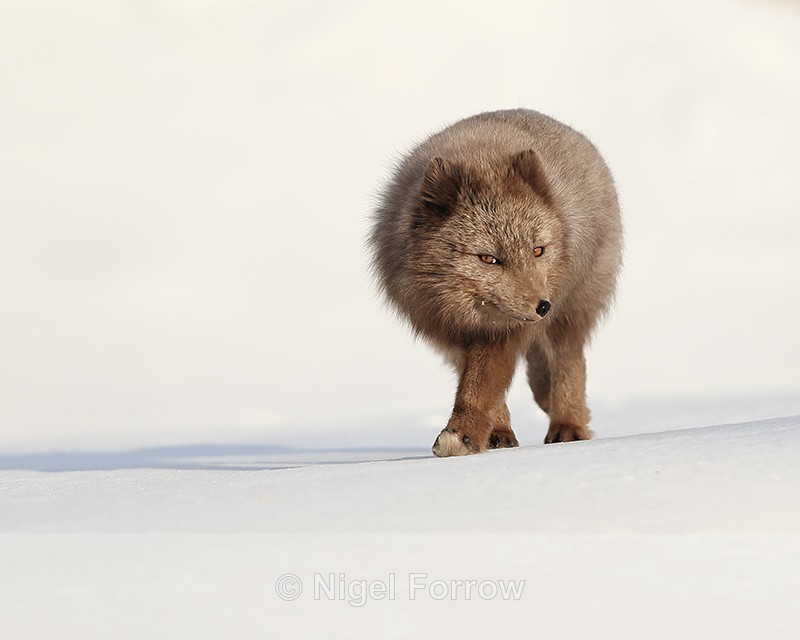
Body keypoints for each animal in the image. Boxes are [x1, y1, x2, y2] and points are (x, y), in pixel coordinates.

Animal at [369, 109, 623, 457]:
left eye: (537, 250)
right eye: (489, 258)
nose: (543, 306)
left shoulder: (502, 331)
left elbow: (481, 386)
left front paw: (460, 436)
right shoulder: (450, 333)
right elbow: (483, 386)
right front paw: (493, 434)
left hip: (574, 307)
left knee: (569, 360)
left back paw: (568, 427)